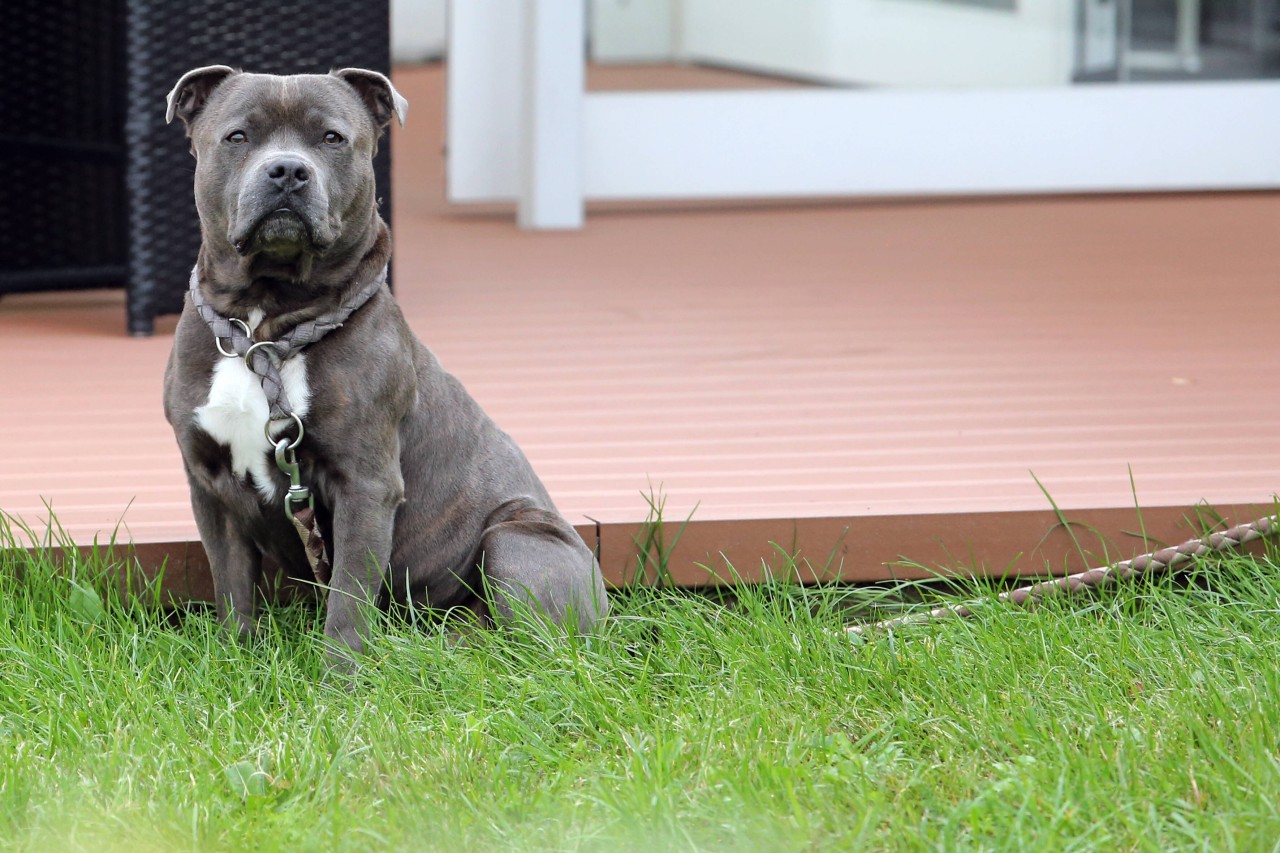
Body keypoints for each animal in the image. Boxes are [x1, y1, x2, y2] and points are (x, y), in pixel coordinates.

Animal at [161, 66, 609, 666]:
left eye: (331, 137)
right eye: (237, 136)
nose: (287, 170)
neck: (264, 327)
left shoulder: (366, 486)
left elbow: (347, 601)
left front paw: (339, 680)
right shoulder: (210, 484)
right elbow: (231, 587)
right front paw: (237, 659)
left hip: (516, 538)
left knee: (540, 646)